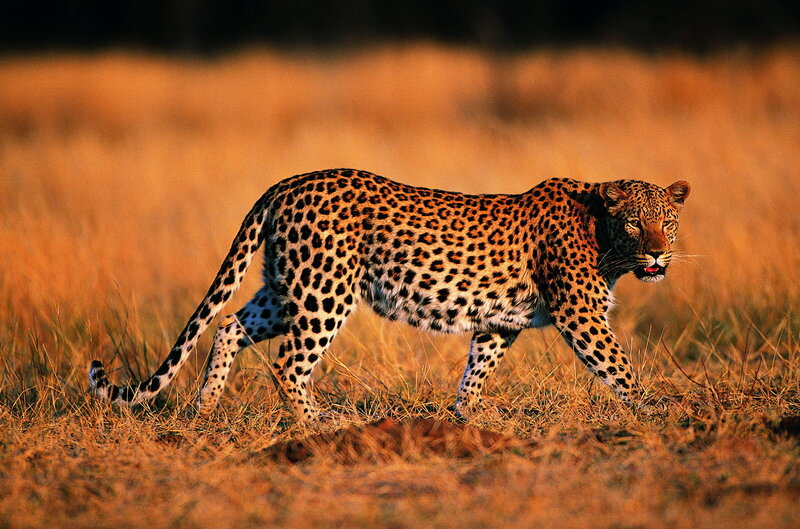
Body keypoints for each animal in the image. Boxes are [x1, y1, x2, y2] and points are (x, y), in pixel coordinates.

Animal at [89, 169, 690, 422]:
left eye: (666, 222)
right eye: (635, 224)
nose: (658, 255)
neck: (604, 239)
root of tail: (285, 183)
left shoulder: (501, 322)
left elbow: (477, 369)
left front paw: (463, 420)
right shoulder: (579, 312)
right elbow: (619, 367)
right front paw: (657, 412)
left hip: (287, 287)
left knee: (229, 325)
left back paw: (204, 409)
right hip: (324, 291)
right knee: (287, 363)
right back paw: (319, 423)